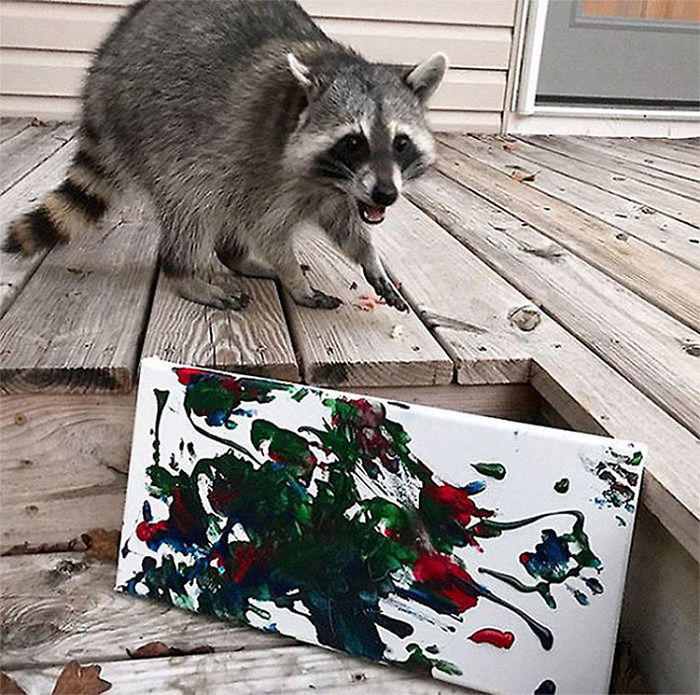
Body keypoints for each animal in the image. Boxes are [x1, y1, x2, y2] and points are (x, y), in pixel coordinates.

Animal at [4, 0, 447, 312]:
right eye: (354, 142)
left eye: (401, 142)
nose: (386, 194)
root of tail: (102, 65)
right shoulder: (266, 160)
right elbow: (268, 230)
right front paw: (294, 278)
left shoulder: (341, 189)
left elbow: (343, 223)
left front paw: (369, 256)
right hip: (153, 126)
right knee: (193, 198)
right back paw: (184, 271)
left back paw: (235, 256)